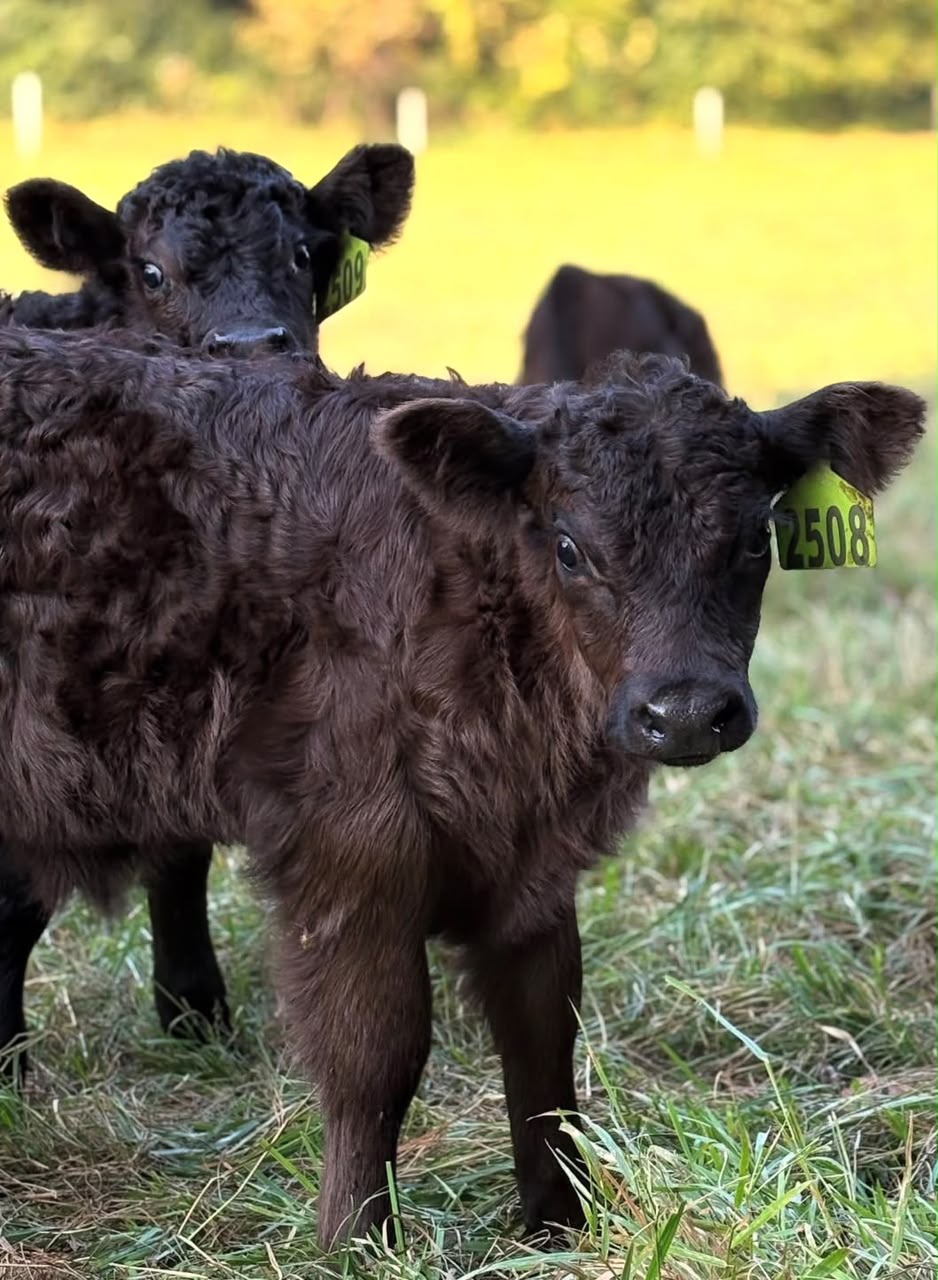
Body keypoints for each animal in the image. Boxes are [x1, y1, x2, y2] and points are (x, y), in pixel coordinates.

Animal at [0, 327, 923, 1245]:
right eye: (568, 547)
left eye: (756, 539)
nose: (688, 712)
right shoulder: (355, 854)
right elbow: (376, 1055)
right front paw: (356, 1241)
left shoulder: (532, 867)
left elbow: (543, 1043)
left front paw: (561, 1228)